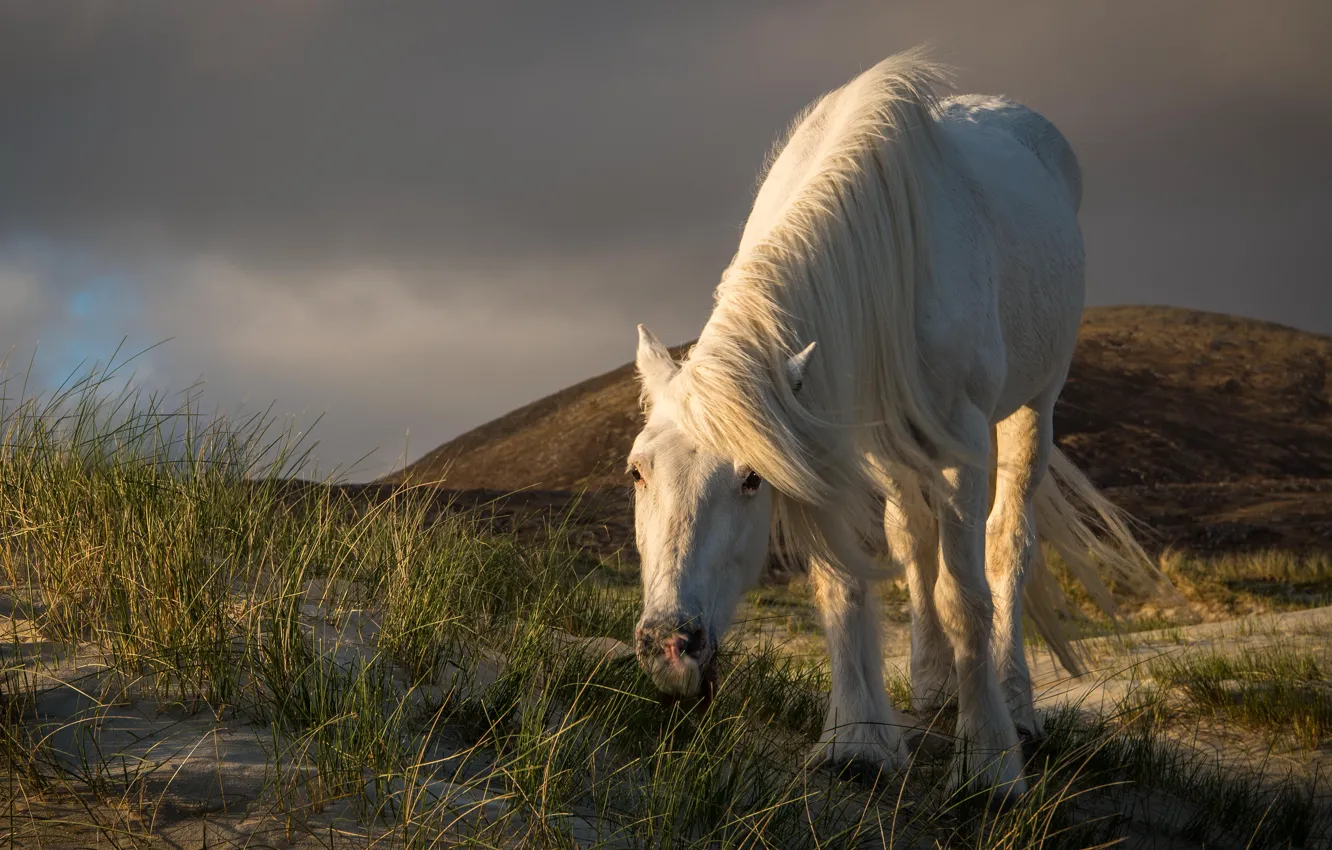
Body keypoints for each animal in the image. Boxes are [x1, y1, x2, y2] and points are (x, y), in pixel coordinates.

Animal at [628, 49, 1172, 804]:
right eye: (637, 471)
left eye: (750, 480)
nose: (668, 647)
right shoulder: (833, 438)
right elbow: (844, 582)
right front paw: (856, 742)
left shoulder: (960, 443)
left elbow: (966, 595)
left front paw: (990, 764)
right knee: (914, 538)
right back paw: (933, 682)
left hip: (1032, 409)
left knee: (1009, 544)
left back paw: (1015, 701)